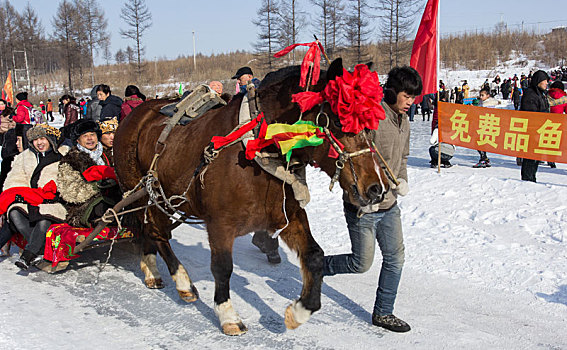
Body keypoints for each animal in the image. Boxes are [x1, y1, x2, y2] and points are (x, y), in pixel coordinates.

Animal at [115, 58, 390, 336]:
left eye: (369, 126)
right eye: (336, 121)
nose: (376, 189)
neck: (258, 148)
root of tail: (135, 115)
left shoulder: (286, 213)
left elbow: (314, 256)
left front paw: (299, 311)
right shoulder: (220, 223)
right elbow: (222, 267)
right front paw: (228, 315)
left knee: (149, 230)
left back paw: (150, 267)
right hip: (143, 193)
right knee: (157, 232)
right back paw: (181, 281)